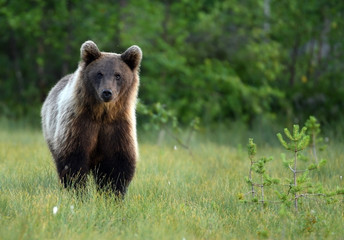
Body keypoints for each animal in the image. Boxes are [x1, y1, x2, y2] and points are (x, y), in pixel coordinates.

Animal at [41, 40, 142, 196]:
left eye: (118, 75)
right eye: (99, 73)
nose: (107, 92)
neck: (102, 114)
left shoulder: (118, 126)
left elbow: (119, 163)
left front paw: (113, 194)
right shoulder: (78, 123)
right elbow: (73, 160)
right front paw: (78, 192)